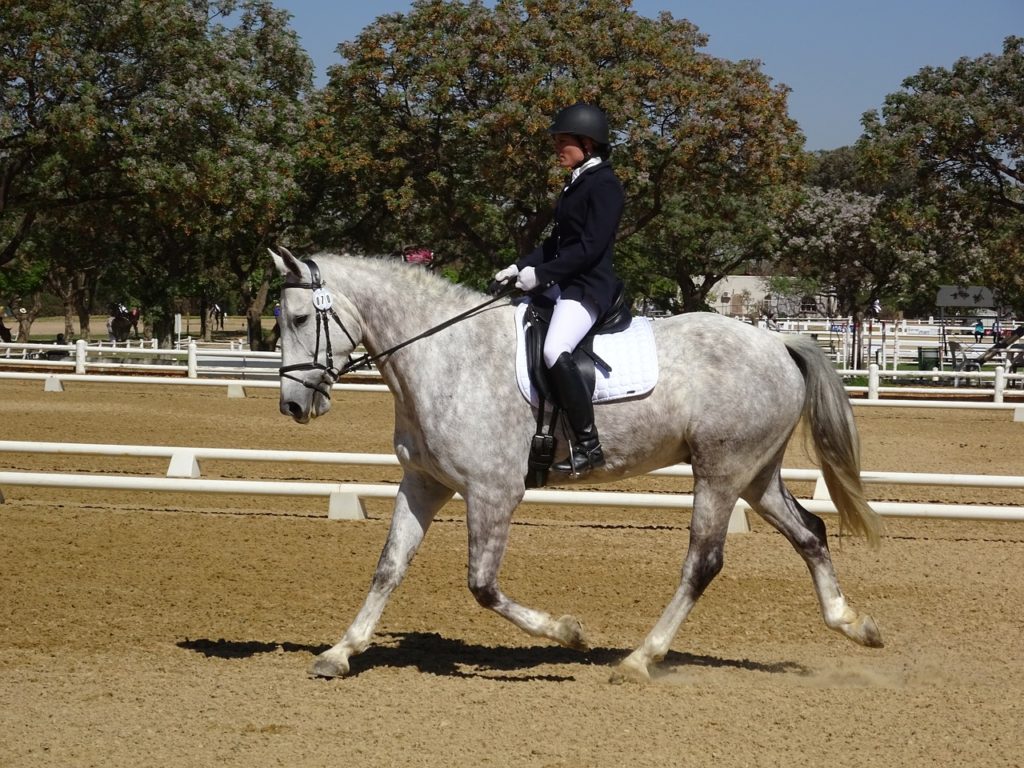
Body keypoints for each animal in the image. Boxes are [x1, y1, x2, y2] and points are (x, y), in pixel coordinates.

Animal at [270, 248, 884, 682]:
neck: (446, 356)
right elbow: (388, 568)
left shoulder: (493, 491)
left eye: (298, 317)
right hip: (755, 475)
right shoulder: (424, 483)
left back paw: (639, 659)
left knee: (703, 562)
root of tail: (778, 344)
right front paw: (340, 652)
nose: (293, 407)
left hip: (721, 473)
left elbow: (482, 585)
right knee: (810, 532)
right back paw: (853, 624)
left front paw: (569, 633)